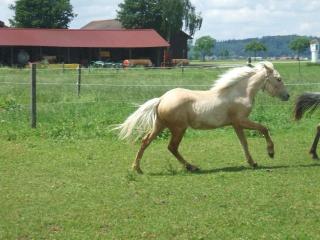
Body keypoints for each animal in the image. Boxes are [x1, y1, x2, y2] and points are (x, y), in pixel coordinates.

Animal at [115, 61, 290, 173]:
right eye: (279, 79)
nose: (287, 96)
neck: (240, 93)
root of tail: (161, 99)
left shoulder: (236, 124)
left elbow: (244, 143)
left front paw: (252, 163)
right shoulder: (241, 120)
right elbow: (264, 129)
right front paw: (270, 152)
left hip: (160, 125)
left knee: (145, 142)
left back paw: (137, 168)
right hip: (178, 128)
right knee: (172, 147)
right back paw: (191, 167)